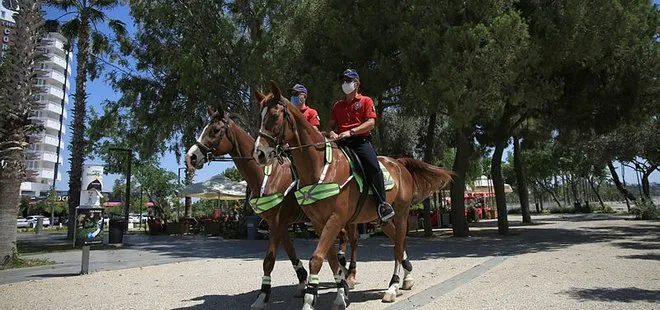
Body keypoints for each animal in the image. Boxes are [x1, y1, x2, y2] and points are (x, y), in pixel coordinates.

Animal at [184, 105, 360, 308]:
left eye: (214, 130)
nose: (191, 156)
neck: (268, 174)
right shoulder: (278, 224)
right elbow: (290, 252)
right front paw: (302, 282)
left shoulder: (277, 222)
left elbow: (268, 260)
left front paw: (263, 295)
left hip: (349, 219)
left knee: (352, 239)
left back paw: (350, 275)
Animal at [253, 81, 454, 308]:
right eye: (259, 116)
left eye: (275, 116)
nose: (259, 153)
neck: (320, 166)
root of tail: (399, 163)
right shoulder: (319, 222)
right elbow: (330, 259)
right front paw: (340, 293)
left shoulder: (335, 218)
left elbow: (316, 259)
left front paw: (310, 299)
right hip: (383, 219)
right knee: (397, 242)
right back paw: (406, 277)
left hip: (402, 214)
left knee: (397, 246)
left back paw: (392, 287)